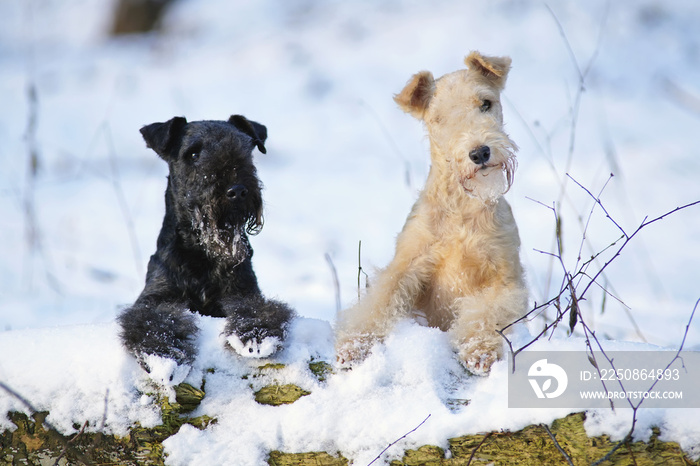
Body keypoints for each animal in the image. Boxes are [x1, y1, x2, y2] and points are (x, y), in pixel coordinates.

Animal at [119, 114, 294, 378]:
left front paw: (256, 334)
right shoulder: (154, 299)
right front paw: (164, 353)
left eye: (246, 147)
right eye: (193, 154)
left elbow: (254, 308)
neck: (202, 253)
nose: (237, 190)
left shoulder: (243, 293)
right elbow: (155, 319)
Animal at [336, 52, 528, 374]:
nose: (479, 153)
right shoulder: (407, 265)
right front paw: (353, 345)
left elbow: (486, 313)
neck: (463, 206)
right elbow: (378, 305)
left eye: (485, 103)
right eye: (439, 118)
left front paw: (479, 351)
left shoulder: (505, 278)